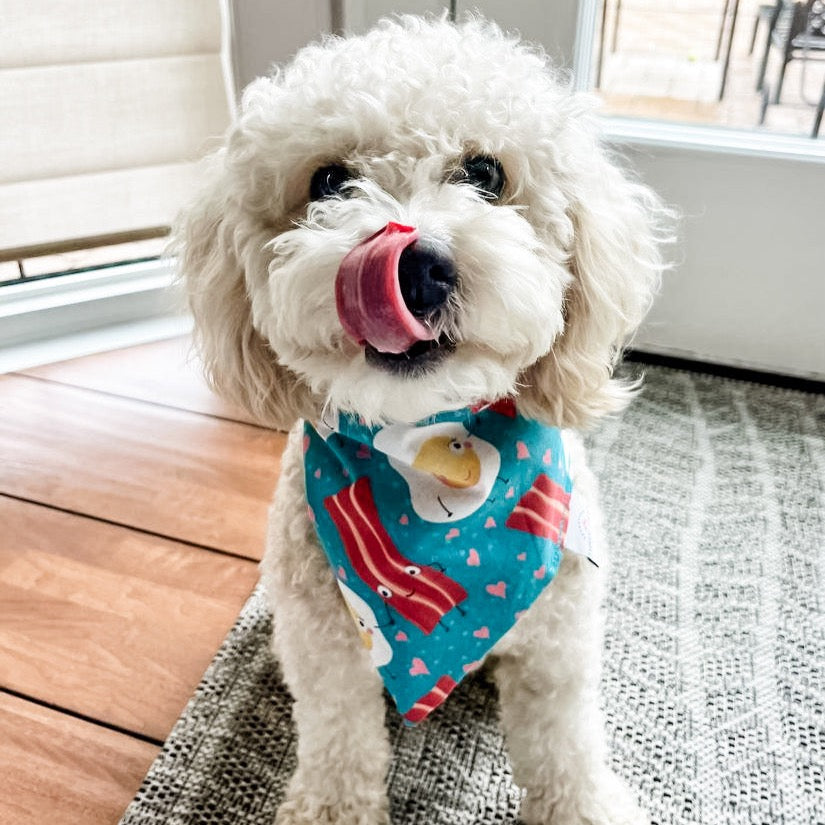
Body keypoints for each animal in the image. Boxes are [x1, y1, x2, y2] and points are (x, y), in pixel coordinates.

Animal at [179, 14, 668, 824]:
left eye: (485, 173)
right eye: (328, 180)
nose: (415, 265)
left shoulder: (557, 648)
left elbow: (564, 744)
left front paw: (582, 804)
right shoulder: (327, 653)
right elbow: (339, 741)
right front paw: (332, 807)